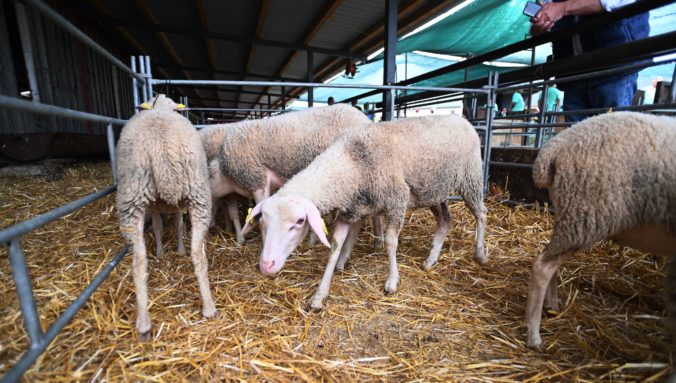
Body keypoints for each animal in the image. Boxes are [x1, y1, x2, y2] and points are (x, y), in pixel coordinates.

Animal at [116, 94, 217, 340]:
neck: (160, 108)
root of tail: (162, 146)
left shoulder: (155, 206)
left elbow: (162, 227)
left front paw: (163, 251)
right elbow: (175, 227)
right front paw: (176, 250)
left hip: (132, 197)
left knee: (139, 260)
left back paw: (143, 323)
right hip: (198, 194)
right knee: (198, 254)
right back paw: (209, 307)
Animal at [242, 115, 486, 310]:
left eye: (299, 221)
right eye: (263, 222)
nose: (266, 265)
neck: (353, 161)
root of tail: (460, 118)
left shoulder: (397, 200)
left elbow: (390, 242)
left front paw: (392, 282)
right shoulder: (349, 210)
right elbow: (335, 246)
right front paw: (320, 295)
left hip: (471, 178)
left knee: (481, 214)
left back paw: (480, 254)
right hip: (433, 190)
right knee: (445, 220)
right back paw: (431, 260)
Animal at [528, 111, 676, 352]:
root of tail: (552, 149)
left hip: (571, 215)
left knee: (549, 263)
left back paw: (552, 307)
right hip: (586, 217)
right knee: (543, 266)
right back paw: (534, 336)